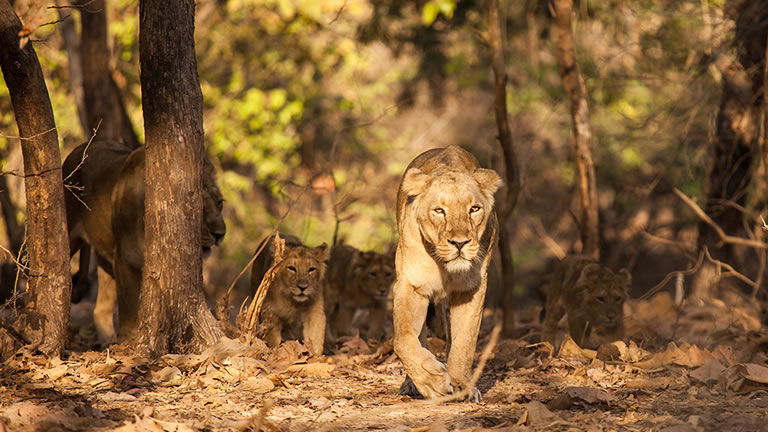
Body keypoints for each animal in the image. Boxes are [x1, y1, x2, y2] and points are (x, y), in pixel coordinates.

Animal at [63, 139, 226, 343]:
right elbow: (129, 311)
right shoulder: (124, 260)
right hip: (71, 235)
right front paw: (131, 343)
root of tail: (79, 147)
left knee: (101, 309)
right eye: (199, 207)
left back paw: (108, 341)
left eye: (220, 203)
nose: (220, 234)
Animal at [393, 145, 501, 402]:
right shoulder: (412, 285)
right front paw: (432, 382)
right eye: (440, 211)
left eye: (474, 209)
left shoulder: (471, 289)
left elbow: (464, 342)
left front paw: (461, 385)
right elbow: (403, 339)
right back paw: (411, 383)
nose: (460, 243)